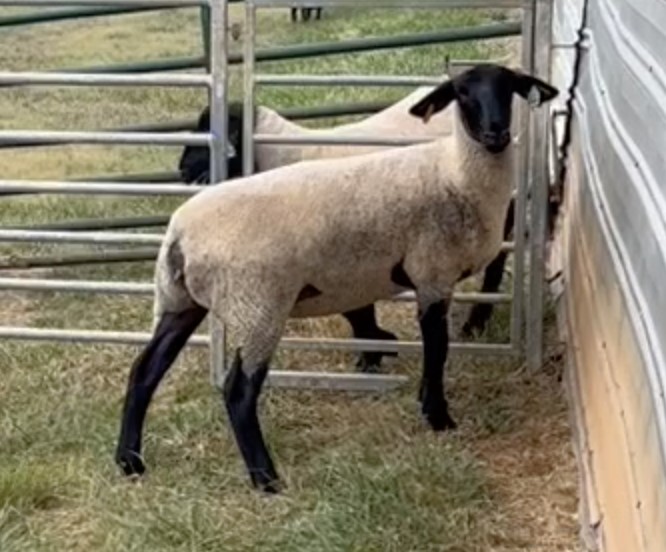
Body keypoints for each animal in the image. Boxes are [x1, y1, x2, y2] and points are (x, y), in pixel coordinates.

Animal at [115, 64, 558, 492]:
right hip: (256, 306)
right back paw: (265, 478)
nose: (182, 169)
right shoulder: (424, 272)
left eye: (509, 89)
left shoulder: (371, 272)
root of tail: (178, 235)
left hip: (183, 300)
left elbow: (392, 328)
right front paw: (431, 409)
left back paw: (130, 461)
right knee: (237, 391)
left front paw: (383, 355)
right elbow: (429, 345)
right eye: (463, 94)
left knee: (145, 370)